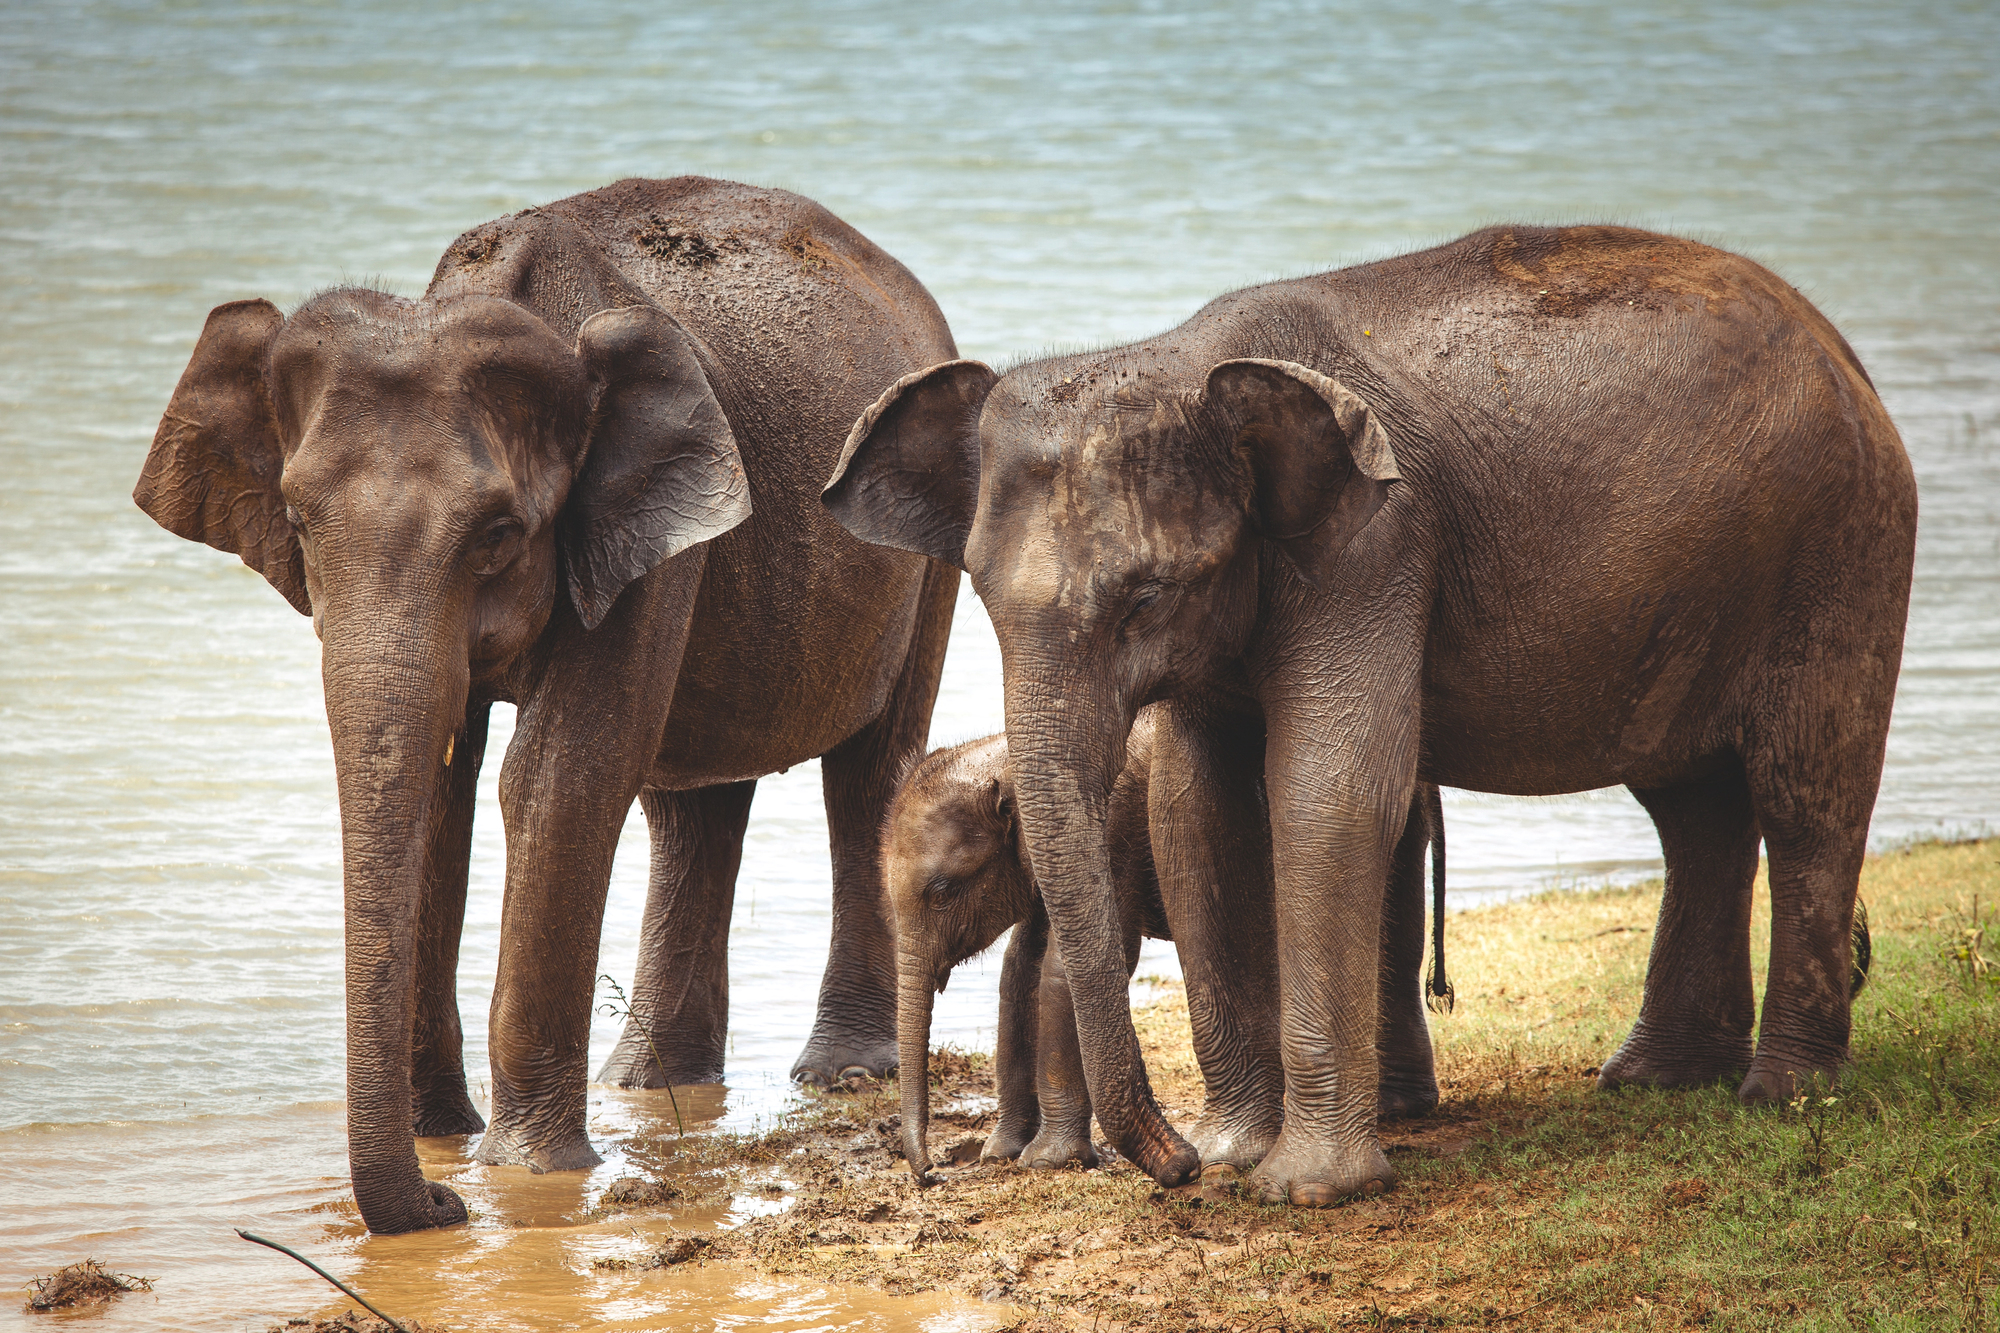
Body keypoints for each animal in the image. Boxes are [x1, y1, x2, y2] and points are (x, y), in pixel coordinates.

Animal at [134, 177, 961, 1234]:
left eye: (496, 534)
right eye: (295, 523)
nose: (444, 1204)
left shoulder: (642, 530)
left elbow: (557, 777)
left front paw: (522, 1170)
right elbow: (442, 787)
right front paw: (443, 1135)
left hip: (920, 545)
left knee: (865, 772)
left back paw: (838, 1073)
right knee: (692, 805)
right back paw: (649, 1084)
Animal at [884, 705, 1452, 1182]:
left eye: (942, 891)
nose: (930, 1174)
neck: (1006, 753)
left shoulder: (1110, 827)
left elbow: (1080, 963)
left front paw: (1047, 1162)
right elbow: (1018, 966)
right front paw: (1000, 1154)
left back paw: (1391, 1108)